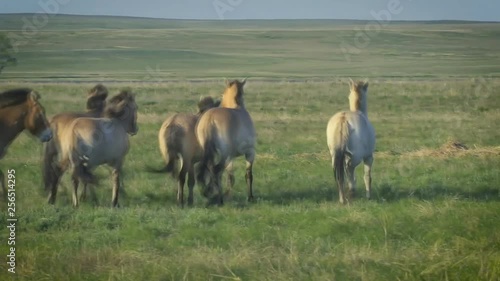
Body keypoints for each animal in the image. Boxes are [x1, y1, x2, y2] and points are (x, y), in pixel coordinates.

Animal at [195, 77, 256, 205]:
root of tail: (210, 119)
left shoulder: (231, 158)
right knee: (216, 170)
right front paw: (250, 197)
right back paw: (218, 198)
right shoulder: (250, 152)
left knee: (210, 169)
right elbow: (248, 174)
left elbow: (230, 177)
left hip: (214, 154)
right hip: (225, 154)